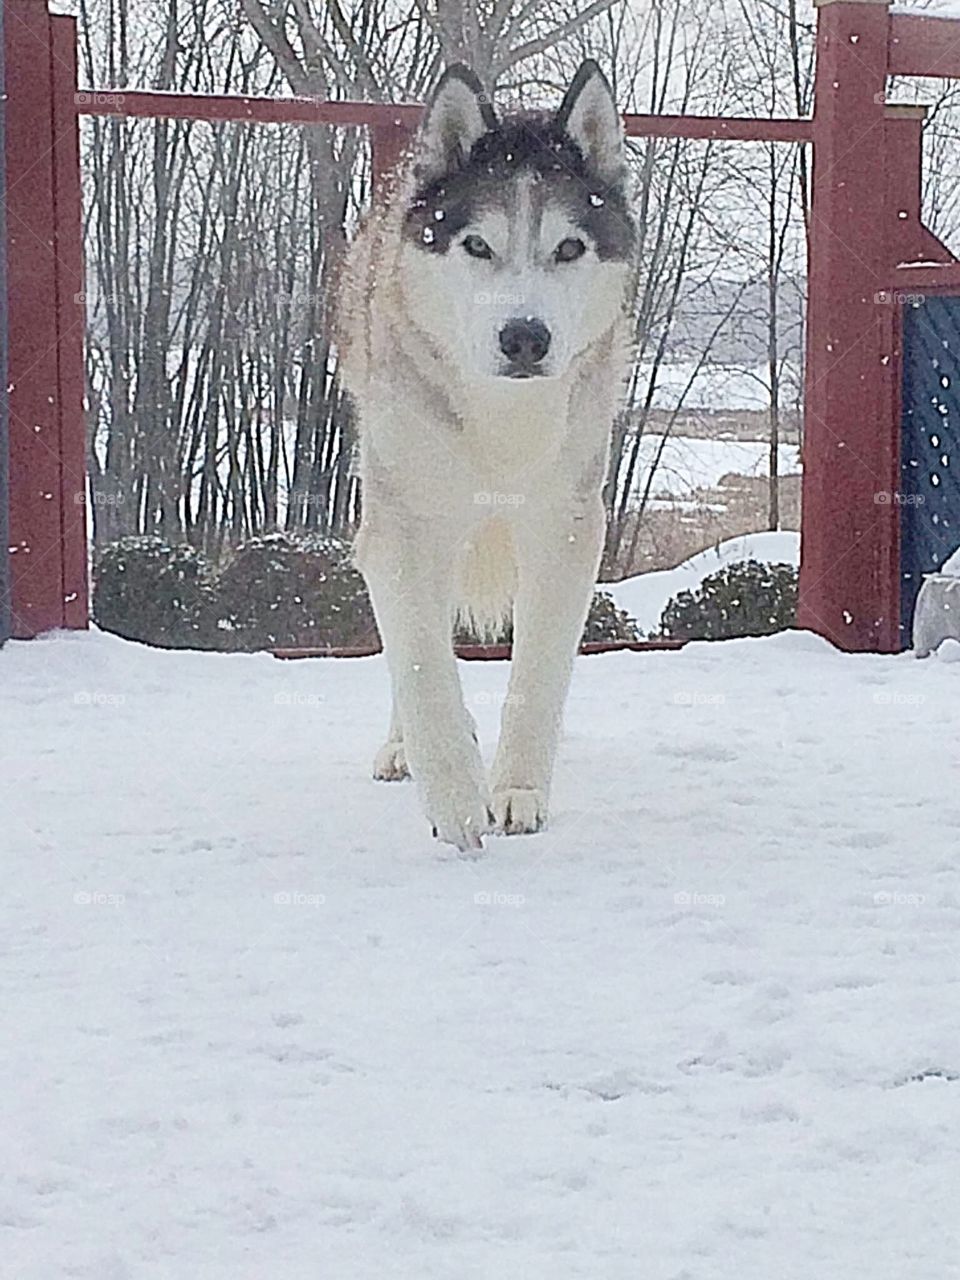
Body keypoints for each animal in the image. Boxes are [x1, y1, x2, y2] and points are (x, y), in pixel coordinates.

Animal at [337, 60, 640, 849]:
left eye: (569, 248)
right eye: (476, 245)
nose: (525, 336)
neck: (502, 425)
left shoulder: (566, 527)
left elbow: (539, 673)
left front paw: (517, 790)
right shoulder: (404, 525)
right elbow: (419, 662)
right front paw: (452, 793)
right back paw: (402, 749)